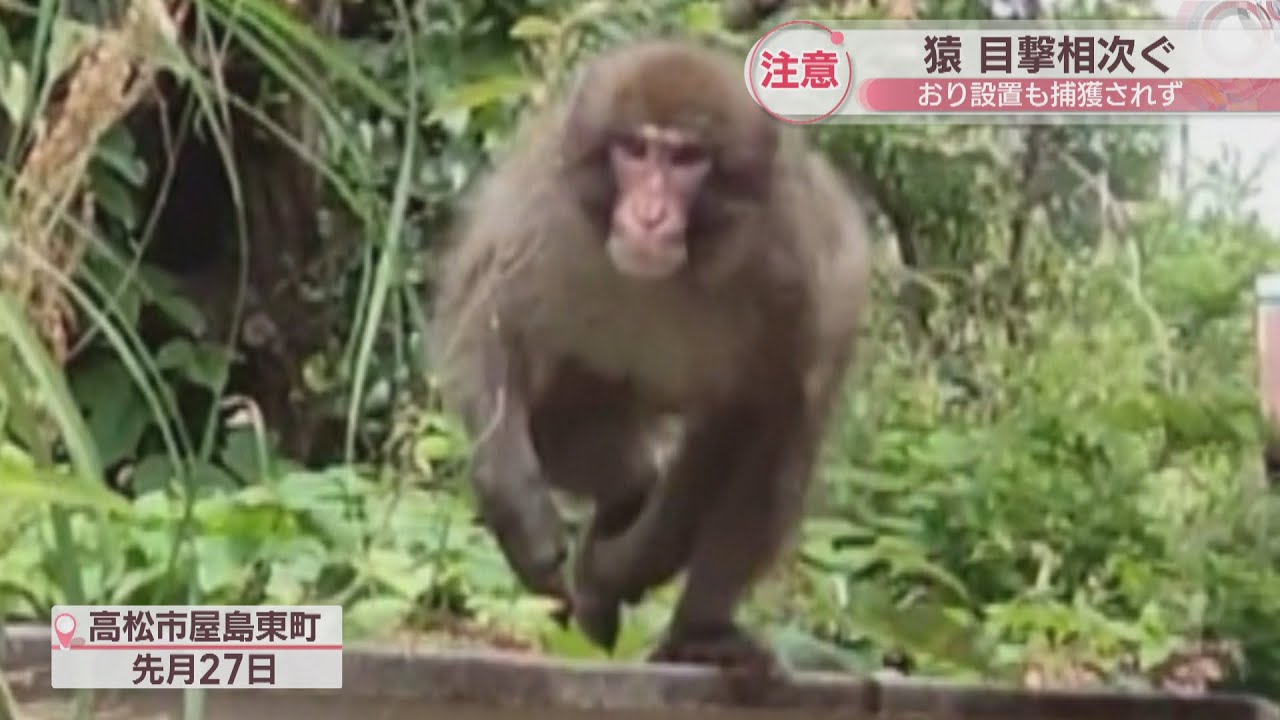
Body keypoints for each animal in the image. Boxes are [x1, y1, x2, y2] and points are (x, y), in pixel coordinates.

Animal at [429, 37, 870, 672]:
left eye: (686, 158)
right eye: (635, 150)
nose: (650, 214)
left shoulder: (790, 272)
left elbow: (754, 415)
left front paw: (628, 571)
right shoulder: (542, 211)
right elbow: (490, 325)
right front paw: (520, 513)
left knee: (779, 445)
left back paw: (693, 626)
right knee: (578, 435)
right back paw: (623, 501)